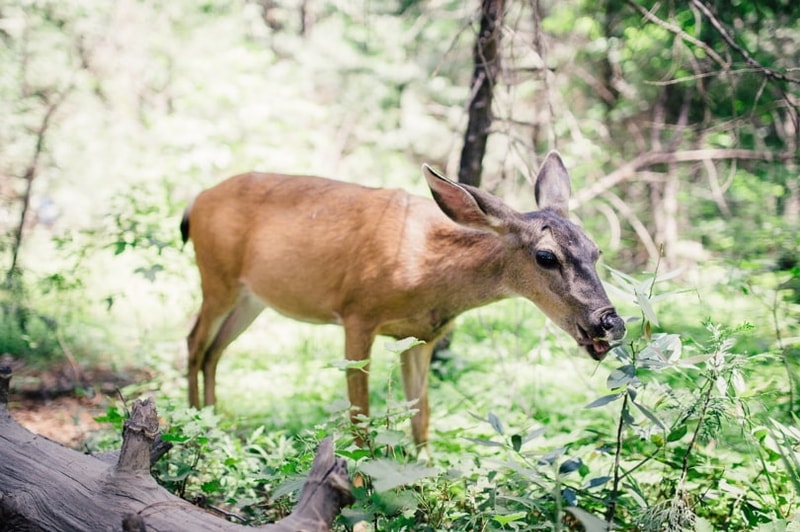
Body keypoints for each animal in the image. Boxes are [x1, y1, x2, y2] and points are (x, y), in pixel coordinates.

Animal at [181, 151, 626, 446]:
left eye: (596, 250)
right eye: (546, 256)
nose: (610, 321)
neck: (426, 267)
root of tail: (195, 200)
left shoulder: (423, 336)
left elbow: (421, 417)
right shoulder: (357, 314)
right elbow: (360, 416)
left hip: (251, 298)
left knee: (214, 350)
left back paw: (214, 426)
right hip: (216, 278)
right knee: (193, 342)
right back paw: (194, 428)